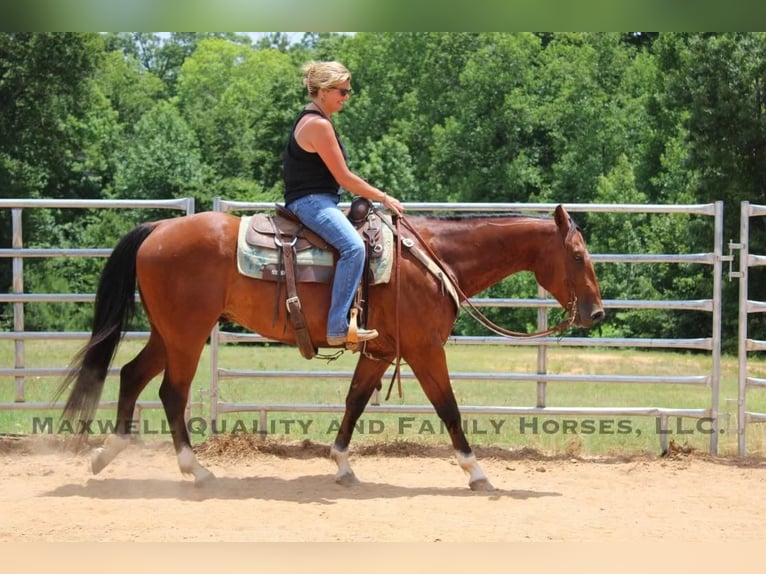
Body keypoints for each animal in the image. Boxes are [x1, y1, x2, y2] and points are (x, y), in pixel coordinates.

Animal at [55, 202, 608, 490]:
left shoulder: (382, 352)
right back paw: (197, 470)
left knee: (131, 374)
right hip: (187, 335)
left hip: (168, 333)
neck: (431, 259)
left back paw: (109, 454)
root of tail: (158, 228)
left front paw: (341, 462)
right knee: (171, 392)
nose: (597, 312)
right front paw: (476, 471)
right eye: (579, 256)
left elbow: (355, 401)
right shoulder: (425, 350)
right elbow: (448, 407)